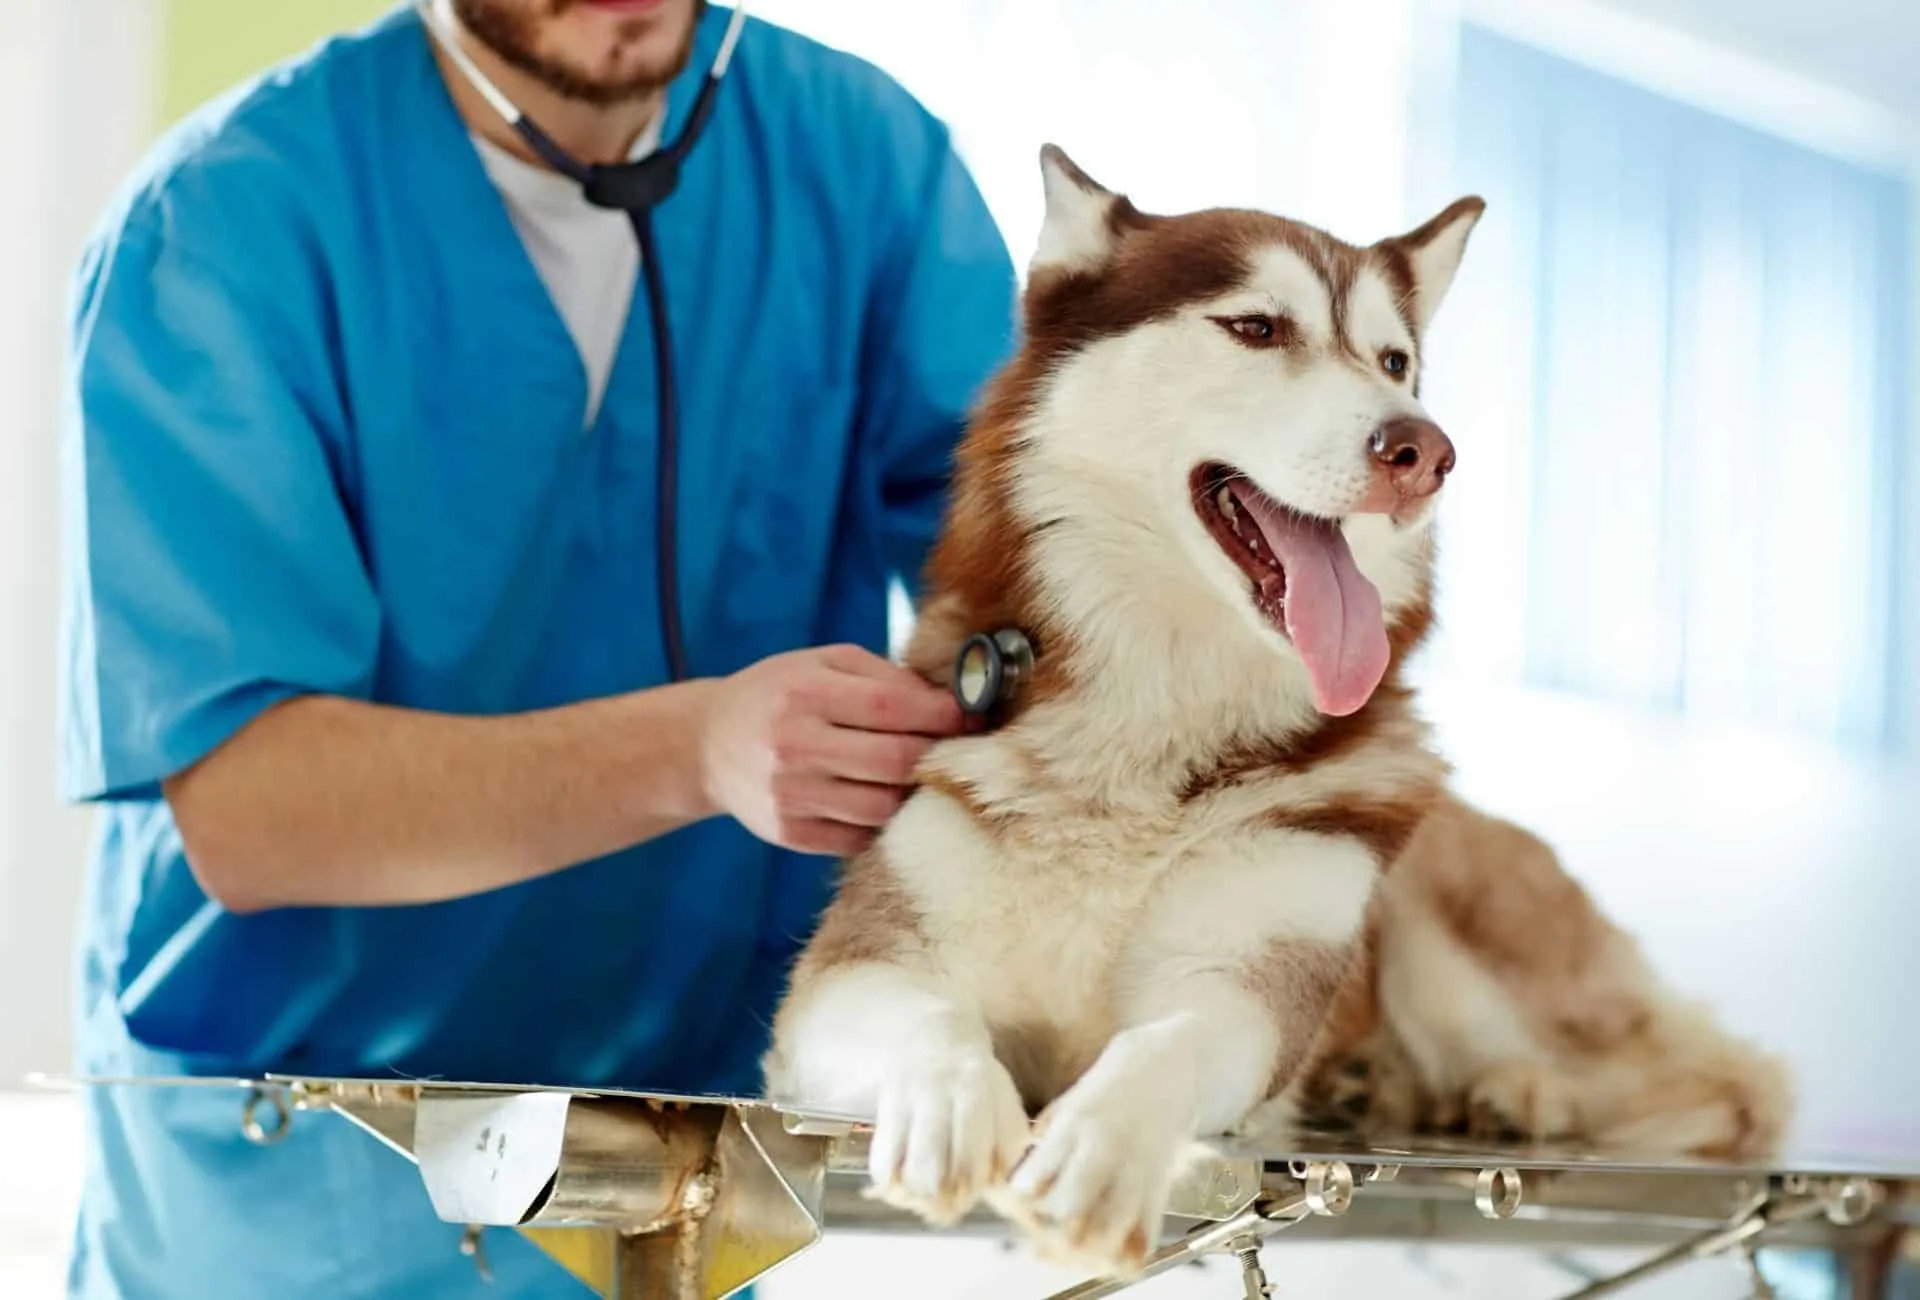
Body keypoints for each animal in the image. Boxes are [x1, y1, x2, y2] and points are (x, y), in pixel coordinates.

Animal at [760, 146, 1781, 1275]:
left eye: (1393, 361)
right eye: (1257, 327)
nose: (1425, 450)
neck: (1155, 724)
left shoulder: (1243, 983)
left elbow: (1167, 1042)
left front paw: (1102, 1144)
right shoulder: (851, 975)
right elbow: (928, 1020)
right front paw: (947, 1103)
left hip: (1450, 946)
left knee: (1734, 1084)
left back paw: (1522, 1093)